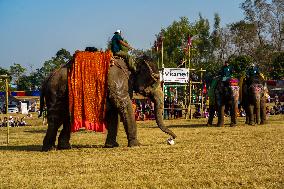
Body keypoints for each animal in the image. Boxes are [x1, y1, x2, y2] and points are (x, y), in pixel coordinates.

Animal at [38, 54, 176, 151]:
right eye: (154, 81)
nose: (172, 138)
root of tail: (47, 78)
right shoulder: (119, 83)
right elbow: (124, 106)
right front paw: (136, 145)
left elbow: (113, 114)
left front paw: (112, 145)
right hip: (56, 93)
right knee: (56, 119)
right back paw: (49, 148)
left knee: (67, 118)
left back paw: (64, 147)